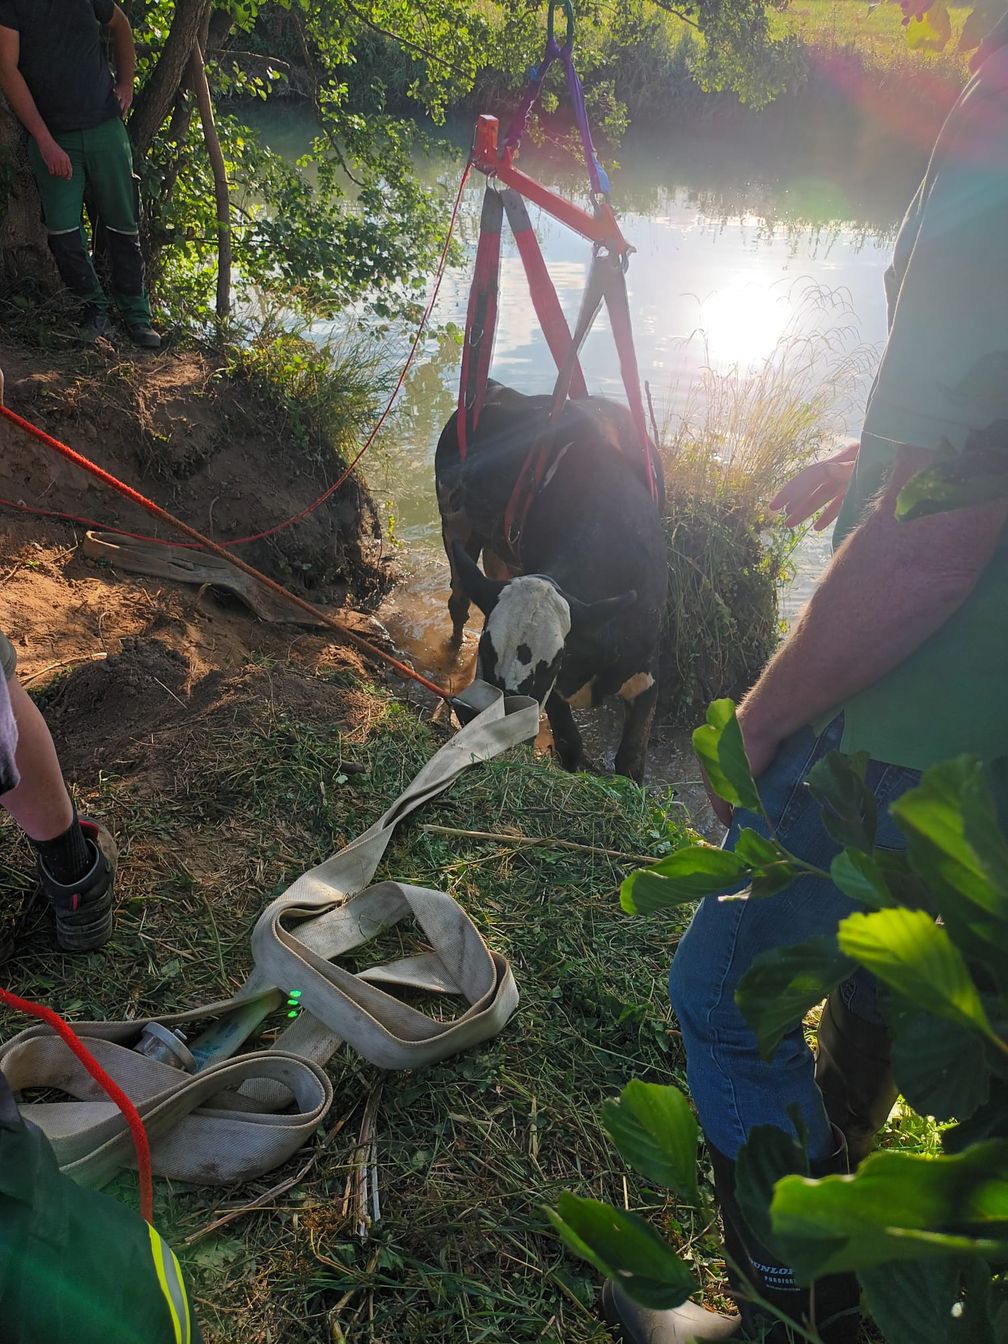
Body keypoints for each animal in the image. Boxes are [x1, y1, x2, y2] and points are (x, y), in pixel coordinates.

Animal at [435, 379, 666, 784]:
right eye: (486, 651)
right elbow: (570, 745)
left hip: (500, 551)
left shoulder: (646, 672)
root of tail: (494, 387)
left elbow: (631, 763)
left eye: (550, 665)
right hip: (456, 524)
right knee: (459, 602)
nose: (474, 716)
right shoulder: (557, 698)